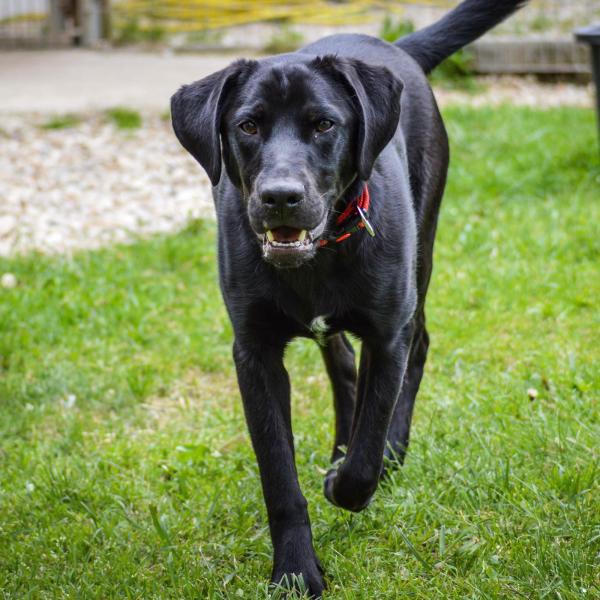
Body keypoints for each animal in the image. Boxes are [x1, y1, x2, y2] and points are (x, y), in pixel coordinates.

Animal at [171, 0, 528, 595]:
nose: (281, 197)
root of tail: (395, 47)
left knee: (417, 348)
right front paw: (295, 570)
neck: (317, 260)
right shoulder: (254, 354)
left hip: (423, 255)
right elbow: (279, 478)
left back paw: (389, 454)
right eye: (247, 125)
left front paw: (350, 480)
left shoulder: (387, 334)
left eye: (324, 124)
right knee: (340, 362)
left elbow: (367, 446)